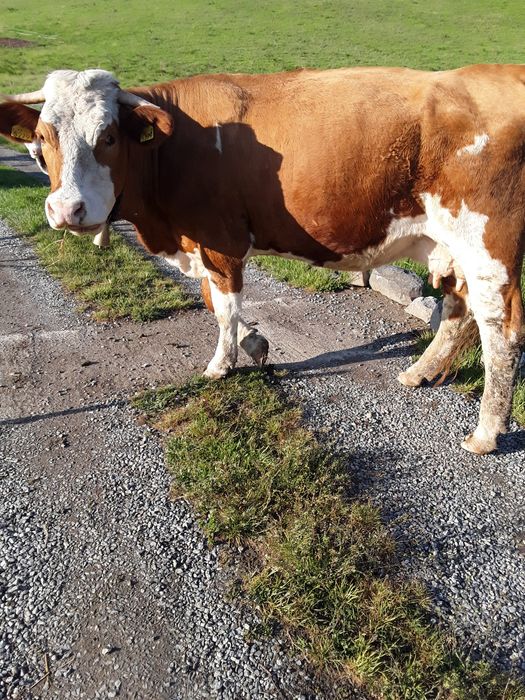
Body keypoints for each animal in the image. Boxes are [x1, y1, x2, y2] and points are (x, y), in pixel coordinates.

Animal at [0, 65, 523, 455]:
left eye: (108, 137)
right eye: (44, 136)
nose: (66, 210)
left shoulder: (221, 238)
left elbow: (224, 305)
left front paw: (222, 364)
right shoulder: (203, 243)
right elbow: (211, 299)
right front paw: (253, 342)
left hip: (487, 245)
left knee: (502, 331)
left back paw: (485, 432)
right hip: (449, 245)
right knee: (457, 309)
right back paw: (419, 372)